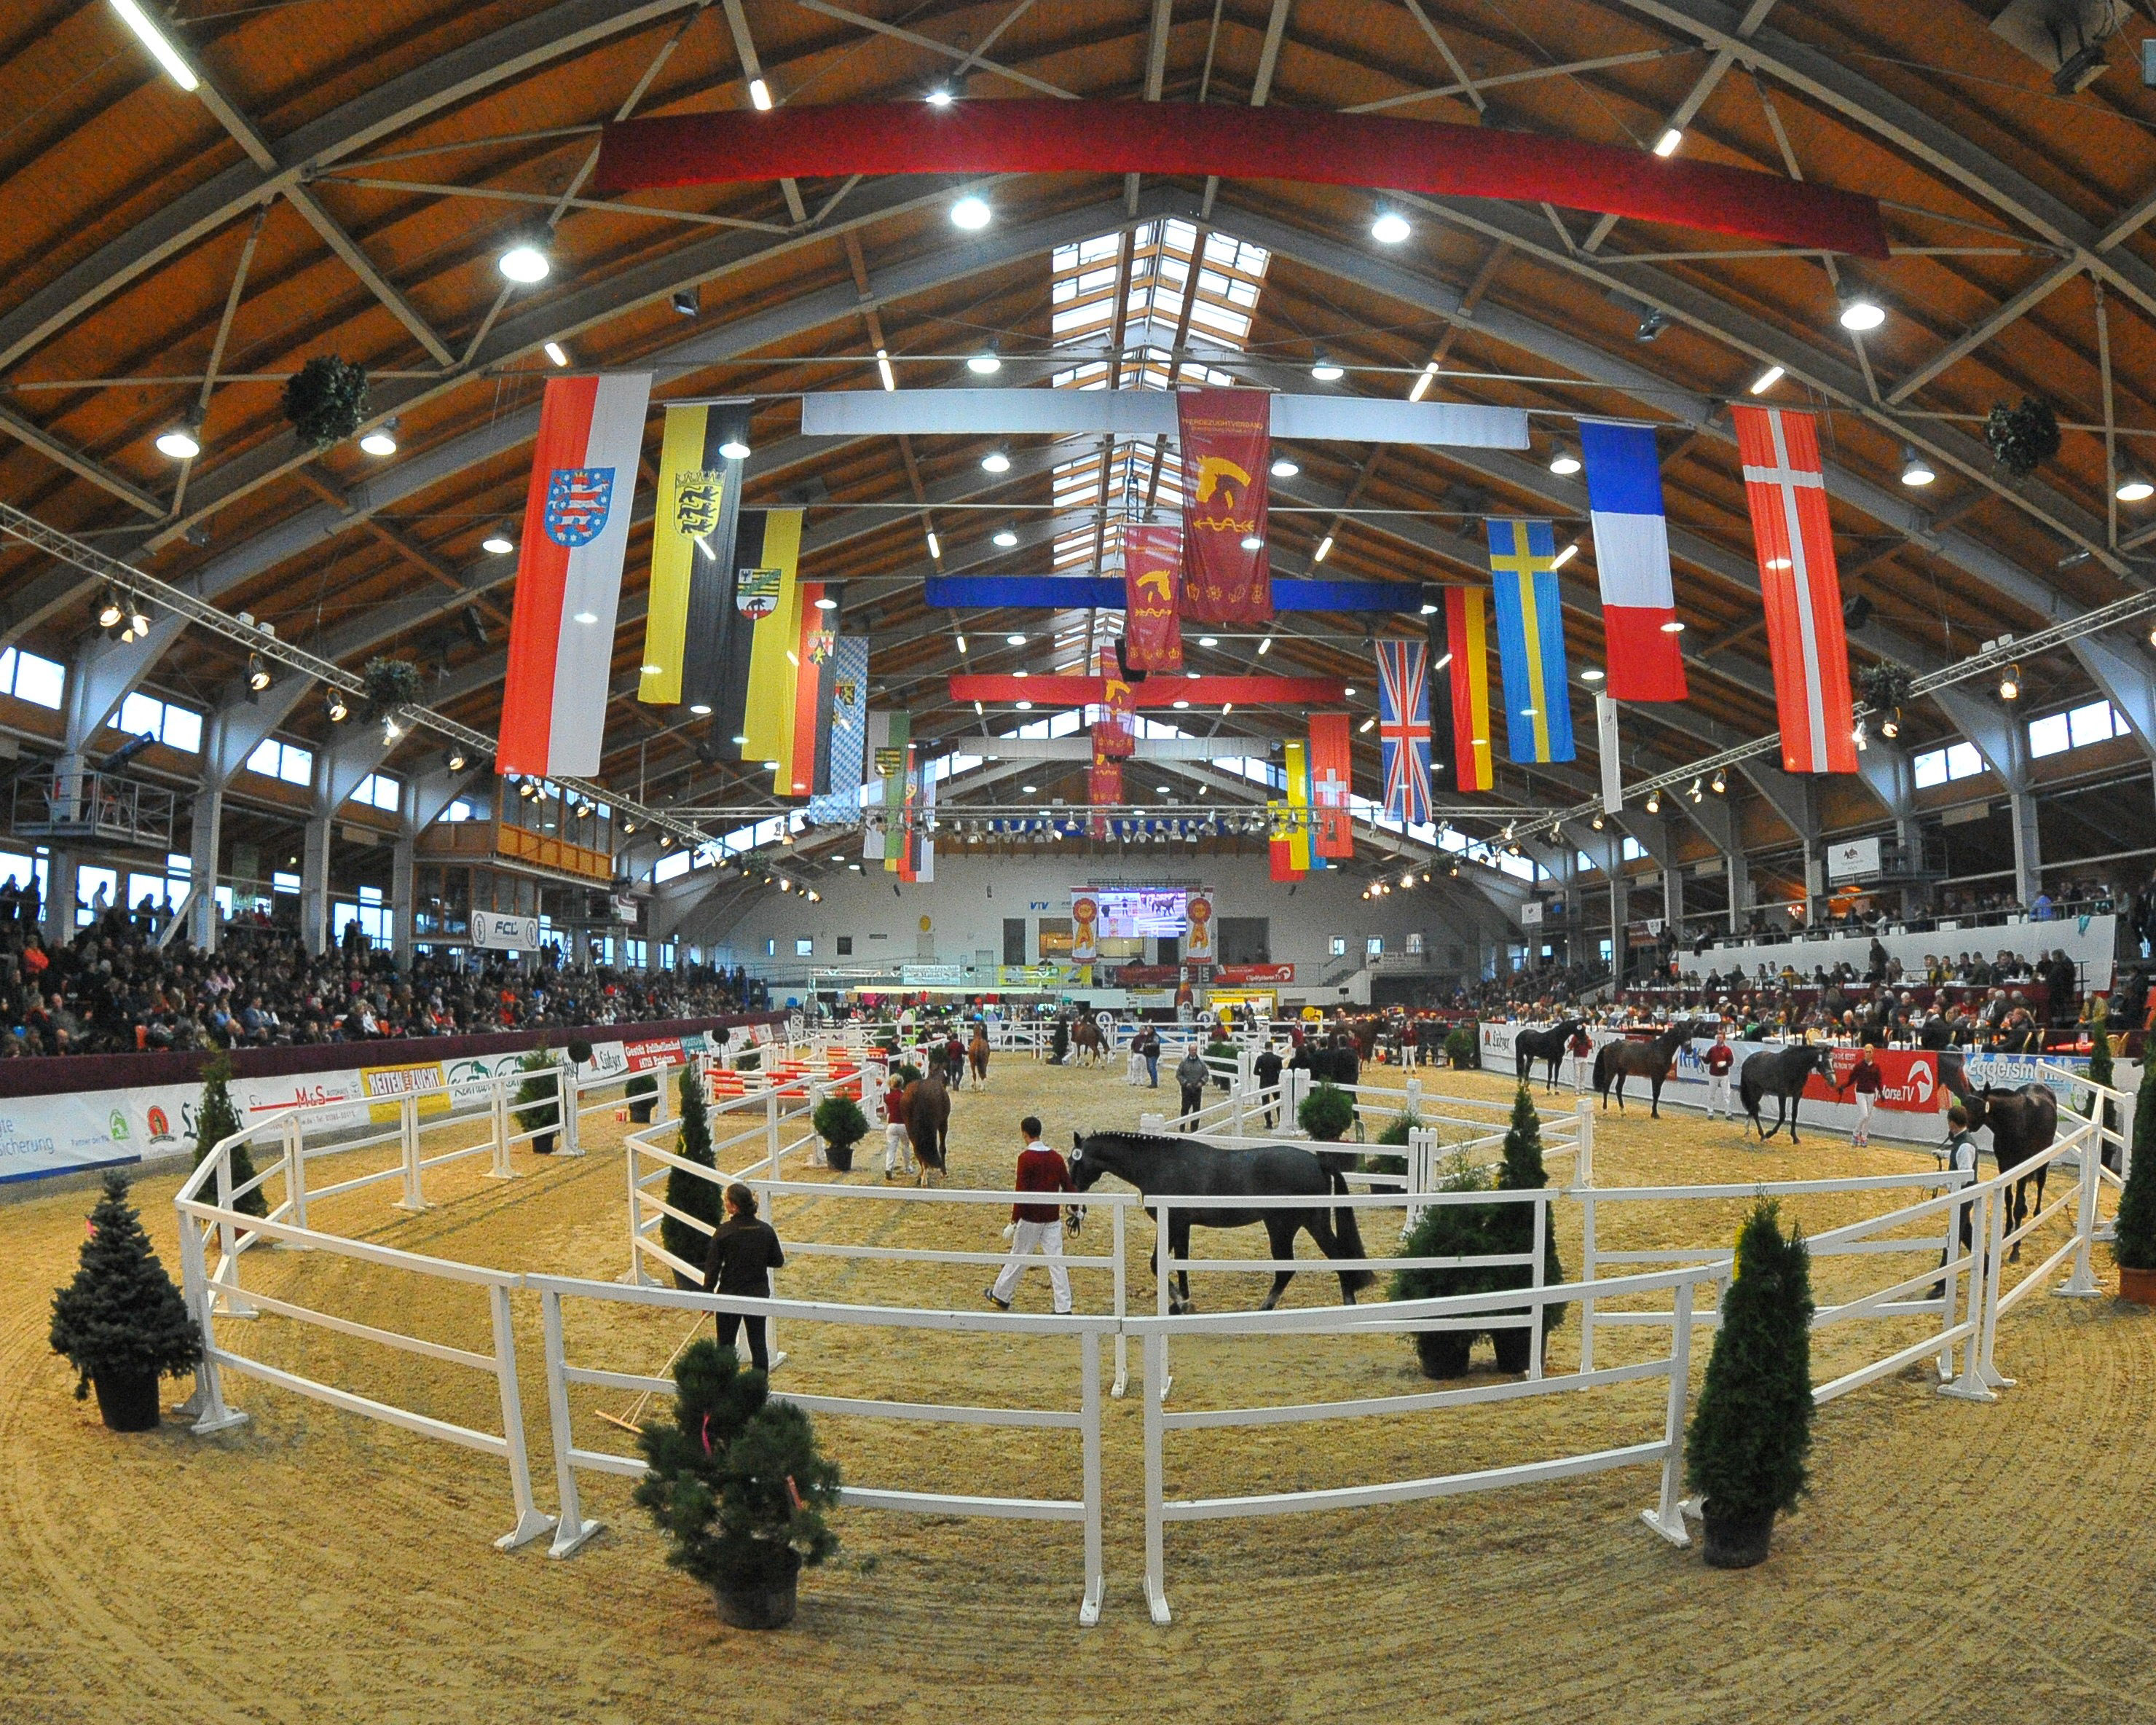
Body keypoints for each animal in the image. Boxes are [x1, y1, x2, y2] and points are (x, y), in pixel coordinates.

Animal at [1069, 1121, 1371, 1311]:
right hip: (1308, 1223)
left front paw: (1180, 1302)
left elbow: (1158, 1264)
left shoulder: (1173, 1223)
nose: (1073, 1204)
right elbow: (1181, 1263)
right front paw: (1183, 1303)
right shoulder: (1182, 1226)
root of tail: (1318, 1161)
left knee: (1305, 1264)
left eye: (1074, 1161)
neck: (1160, 1164)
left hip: (1285, 1227)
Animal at [1586, 1026, 1699, 1121]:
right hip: (1611, 1071)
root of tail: (1608, 1046)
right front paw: (1654, 1114)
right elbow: (1655, 1093)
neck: (1660, 1050)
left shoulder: (1662, 1077)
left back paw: (1623, 1112)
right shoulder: (1655, 1076)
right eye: (1681, 1034)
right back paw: (1605, 1111)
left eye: (1690, 1035)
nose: (1689, 1050)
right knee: (1606, 1088)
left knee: (1618, 1089)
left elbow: (1658, 1094)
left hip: (1622, 1073)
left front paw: (1655, 1113)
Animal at [1733, 1043, 1836, 1138]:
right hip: (1753, 1090)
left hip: (1759, 1091)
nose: (1833, 1081)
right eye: (1825, 1061)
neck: (1794, 1067)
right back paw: (1762, 1135)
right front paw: (1770, 1133)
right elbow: (1782, 1116)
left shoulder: (1797, 1094)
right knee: (1754, 1110)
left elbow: (1794, 1114)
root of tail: (1747, 1061)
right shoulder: (1782, 1094)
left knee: (1753, 1109)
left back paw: (1748, 1130)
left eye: (1833, 1061)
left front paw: (1795, 1138)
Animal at [1966, 1086, 2061, 1259]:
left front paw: (2016, 1248)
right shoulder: (2004, 1166)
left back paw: (2037, 1213)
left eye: (1976, 1107)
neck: (2014, 1122)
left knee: (2041, 1182)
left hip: (2044, 1158)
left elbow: (2016, 1206)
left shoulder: (2022, 1166)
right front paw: (2008, 1232)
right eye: (1965, 1103)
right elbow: (2009, 1199)